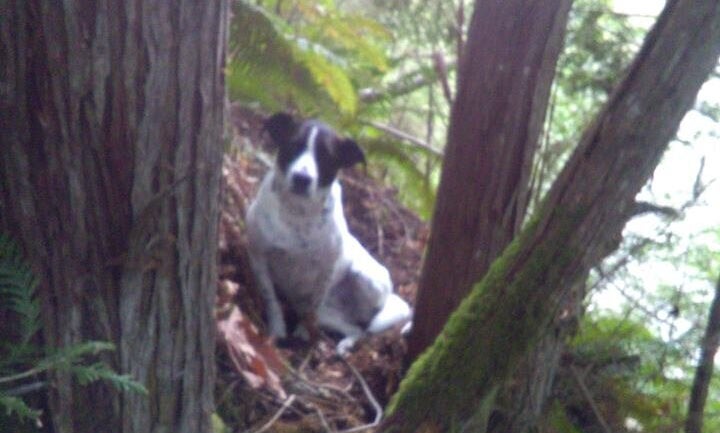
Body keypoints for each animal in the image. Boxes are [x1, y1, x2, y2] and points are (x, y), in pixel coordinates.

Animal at [246, 113, 410, 352]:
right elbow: (271, 299)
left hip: (364, 278)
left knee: (364, 326)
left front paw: (303, 335)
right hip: (329, 314)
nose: (301, 178)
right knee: (355, 329)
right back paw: (344, 345)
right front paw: (278, 331)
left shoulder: (326, 271)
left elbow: (311, 309)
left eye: (326, 157)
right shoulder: (258, 257)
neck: (298, 213)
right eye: (293, 145)